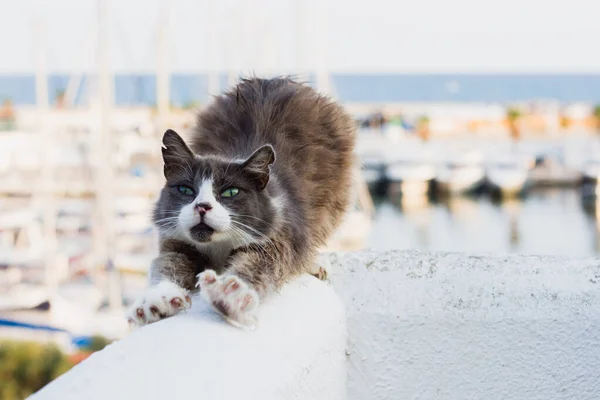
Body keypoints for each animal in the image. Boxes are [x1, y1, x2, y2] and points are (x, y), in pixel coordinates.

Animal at [124, 77, 354, 328]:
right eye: (186, 190)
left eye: (231, 192)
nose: (202, 206)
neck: (219, 246)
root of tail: (276, 80)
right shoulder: (178, 244)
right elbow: (165, 265)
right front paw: (158, 298)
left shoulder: (277, 239)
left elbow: (259, 265)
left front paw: (230, 294)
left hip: (334, 200)